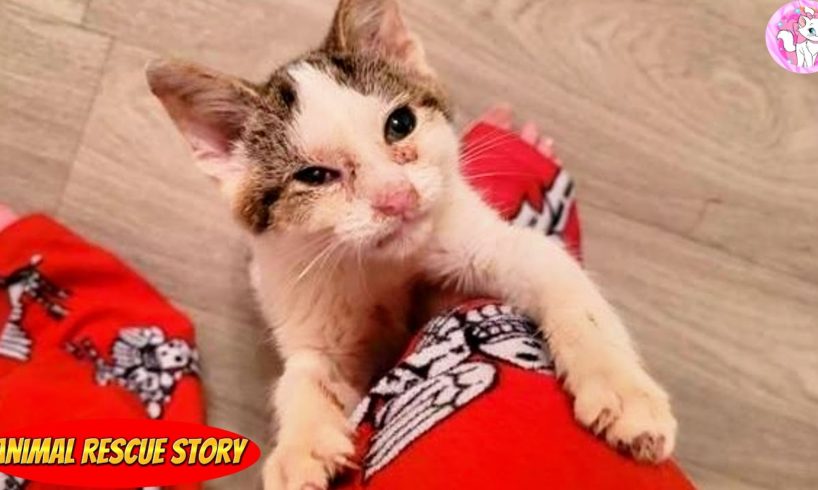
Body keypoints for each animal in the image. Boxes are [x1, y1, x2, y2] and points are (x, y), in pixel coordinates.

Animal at [145, 0, 676, 486]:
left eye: (400, 124)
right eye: (314, 176)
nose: (397, 198)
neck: (388, 265)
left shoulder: (491, 238)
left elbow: (563, 280)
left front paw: (624, 391)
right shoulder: (303, 294)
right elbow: (305, 370)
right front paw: (301, 445)